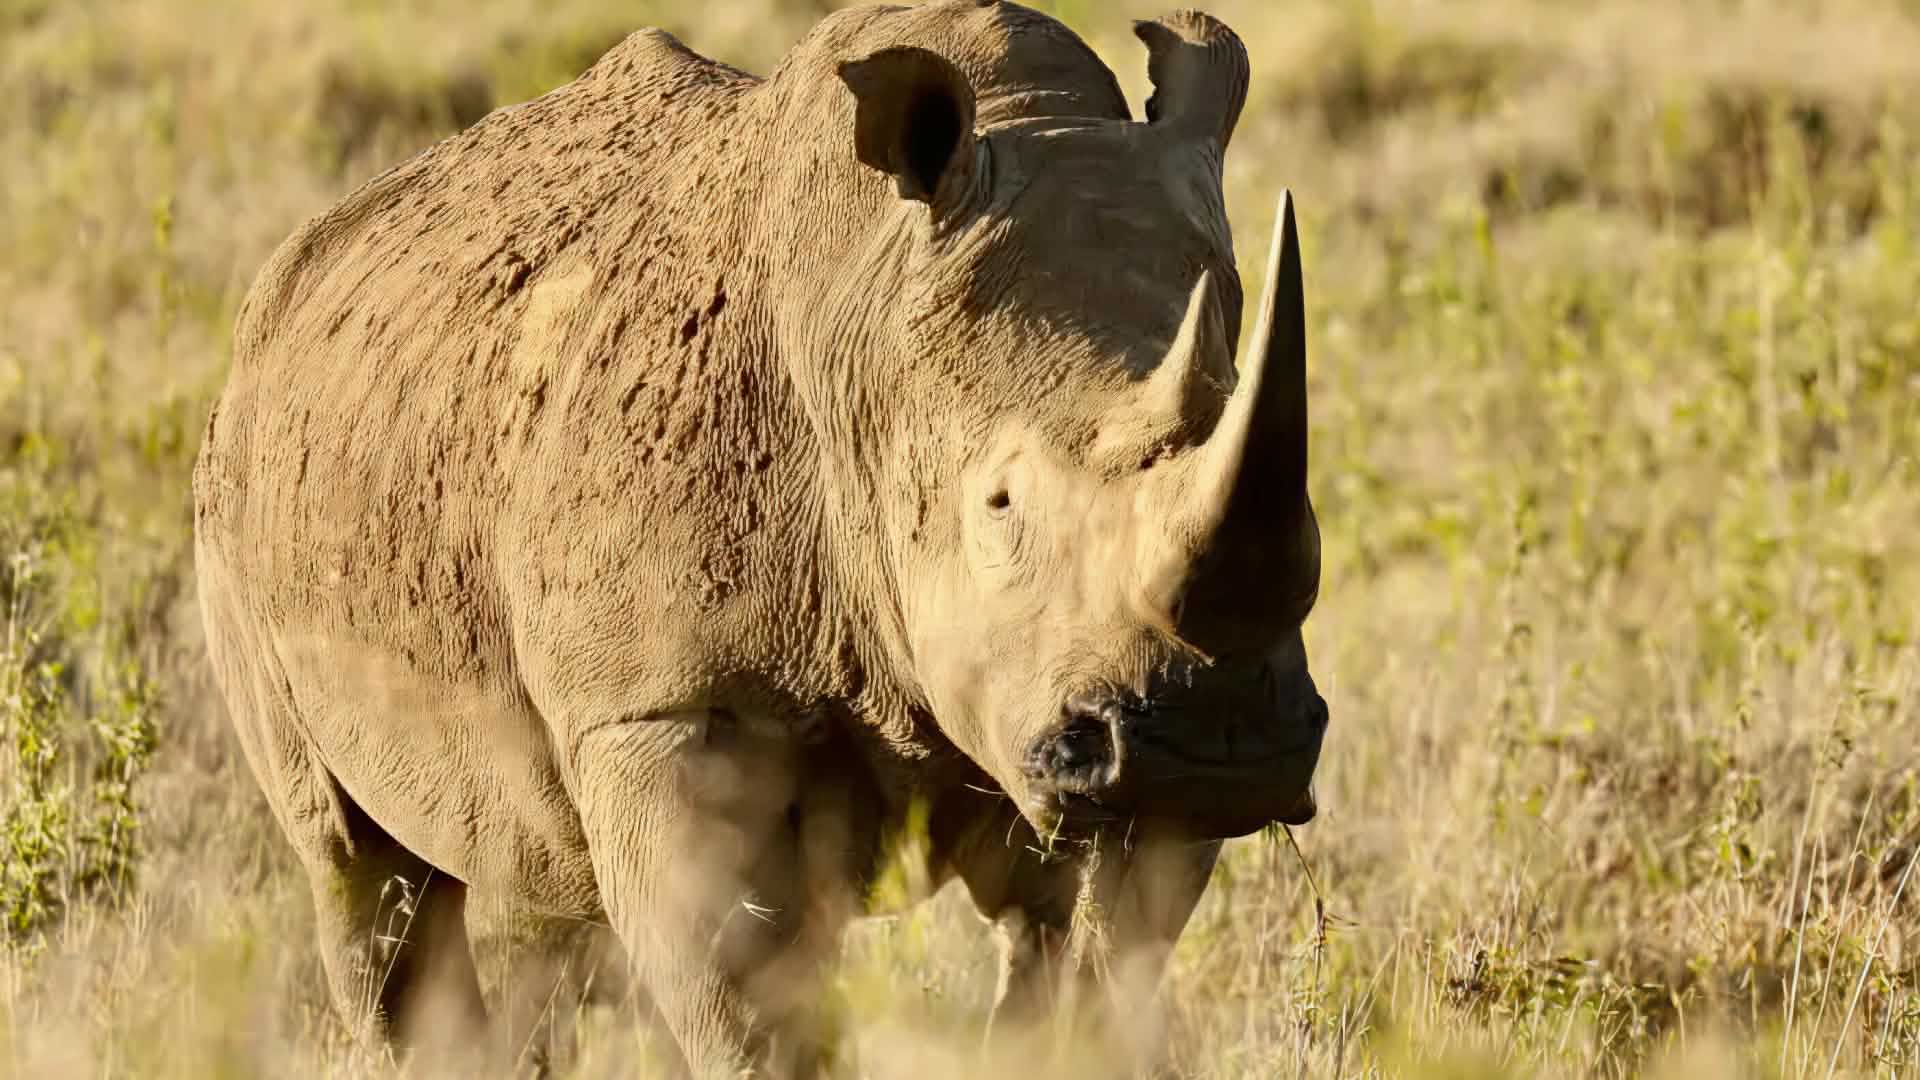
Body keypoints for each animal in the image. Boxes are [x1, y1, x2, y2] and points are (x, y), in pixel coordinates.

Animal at [192, 0, 1326, 1073]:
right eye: (1000, 505)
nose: (1221, 744)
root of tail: (291, 271)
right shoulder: (659, 706)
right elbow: (752, 1013)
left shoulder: (1084, 740)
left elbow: (1083, 981)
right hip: (235, 490)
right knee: (357, 868)